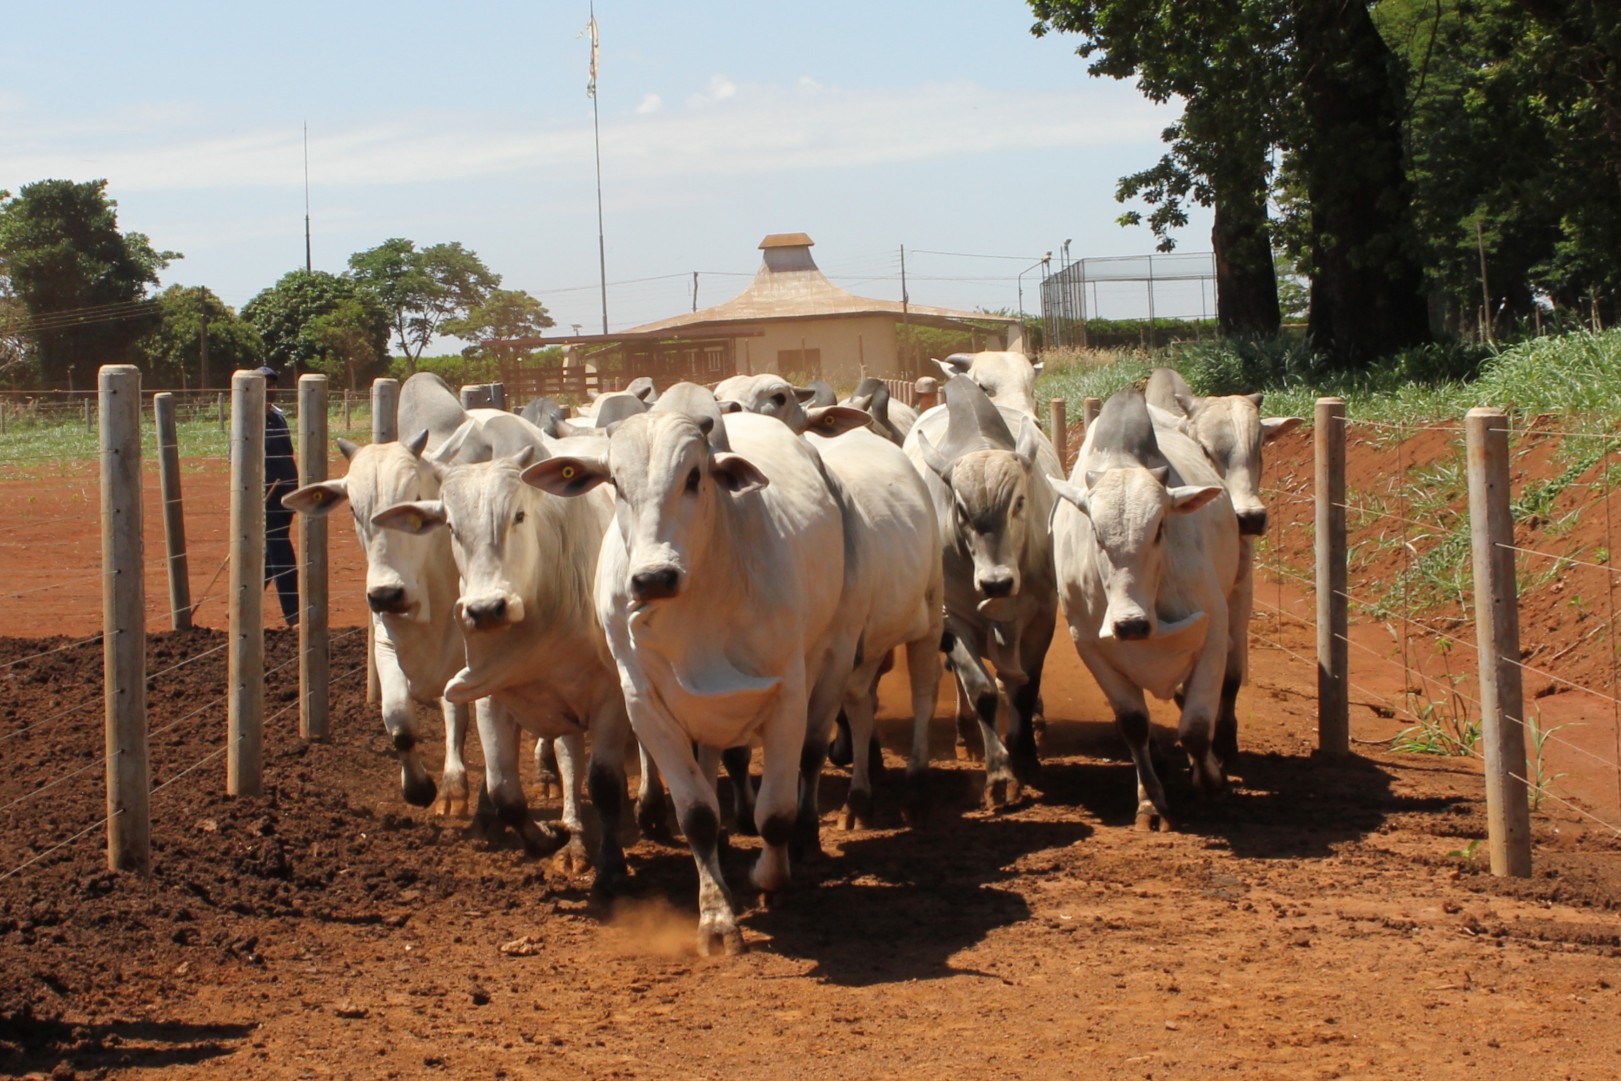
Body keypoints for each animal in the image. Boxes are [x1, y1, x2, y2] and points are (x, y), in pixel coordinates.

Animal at [374, 414, 638, 888]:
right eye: (451, 528)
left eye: (518, 515)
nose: (486, 609)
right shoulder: (491, 697)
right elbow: (504, 793)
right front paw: (548, 838)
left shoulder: (611, 698)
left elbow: (605, 784)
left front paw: (610, 867)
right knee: (567, 756)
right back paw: (571, 834)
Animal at [528, 411, 849, 952]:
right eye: (615, 483)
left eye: (695, 476)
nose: (654, 578)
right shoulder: (645, 706)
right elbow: (696, 814)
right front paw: (717, 918)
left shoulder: (788, 693)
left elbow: (776, 812)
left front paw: (769, 877)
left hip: (827, 661)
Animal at [901, 376, 1063, 807]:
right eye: (960, 509)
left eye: (1019, 502)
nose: (996, 583)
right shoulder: (951, 617)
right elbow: (982, 691)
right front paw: (1000, 774)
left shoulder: (1042, 615)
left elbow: (1025, 688)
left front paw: (1026, 757)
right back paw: (966, 735)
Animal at [1050, 384, 1238, 836]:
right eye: (1096, 534)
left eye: (1159, 529)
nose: (1130, 625)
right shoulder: (1090, 646)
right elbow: (1133, 724)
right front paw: (1151, 802)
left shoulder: (1213, 632)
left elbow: (1196, 728)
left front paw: (1212, 781)